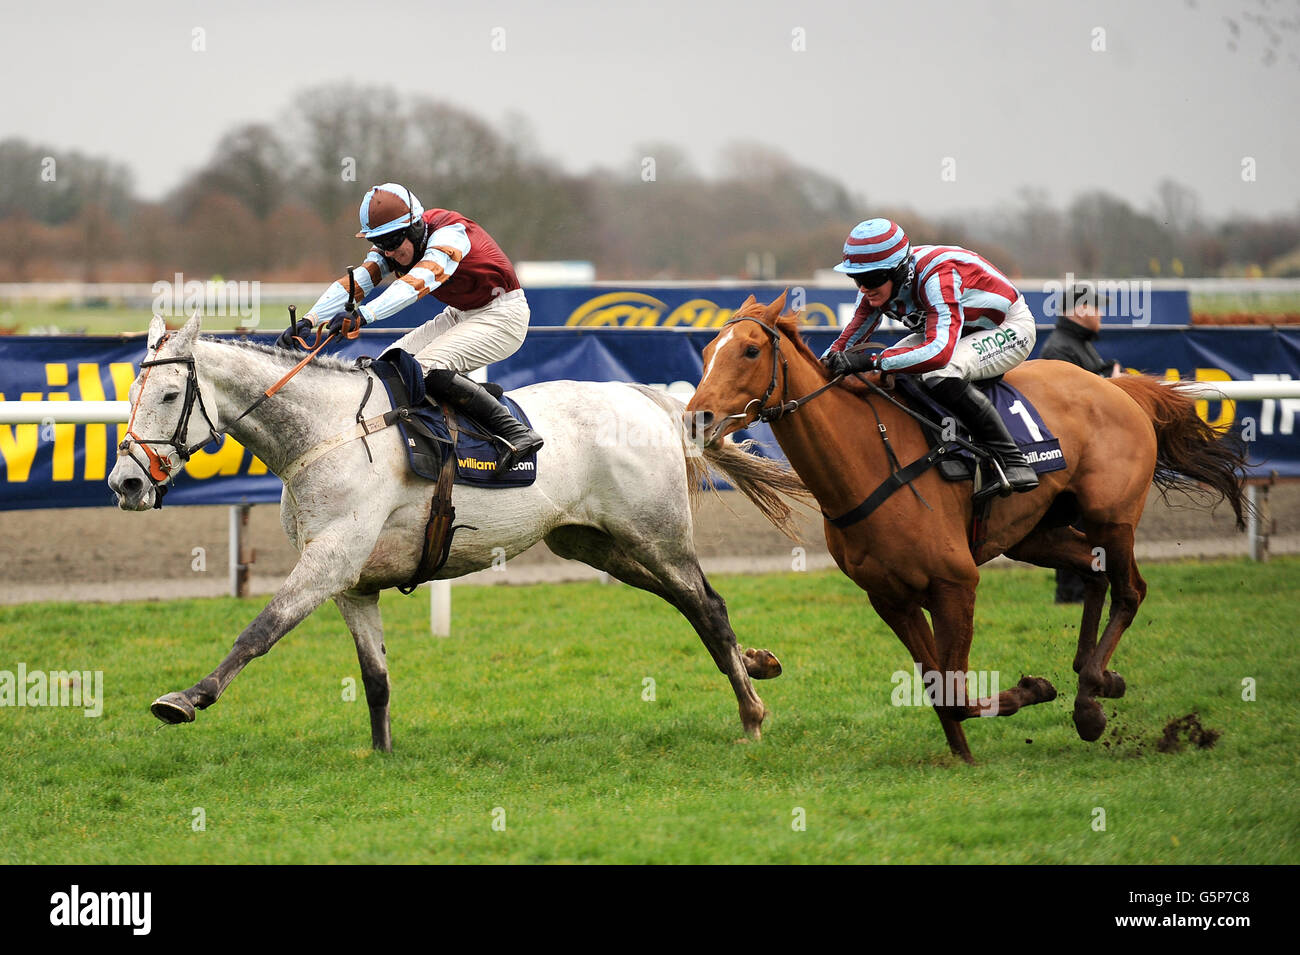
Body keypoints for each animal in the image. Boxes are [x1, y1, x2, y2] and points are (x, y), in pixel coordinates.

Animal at [686, 291, 1242, 764]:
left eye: (751, 350)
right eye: (709, 350)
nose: (697, 418)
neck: (869, 457)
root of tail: (1114, 385)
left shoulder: (955, 582)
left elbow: (954, 692)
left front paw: (1033, 690)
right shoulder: (890, 597)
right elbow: (938, 688)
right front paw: (964, 757)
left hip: (1112, 516)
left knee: (1130, 589)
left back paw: (1090, 701)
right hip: (1035, 534)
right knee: (1095, 573)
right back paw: (1096, 685)